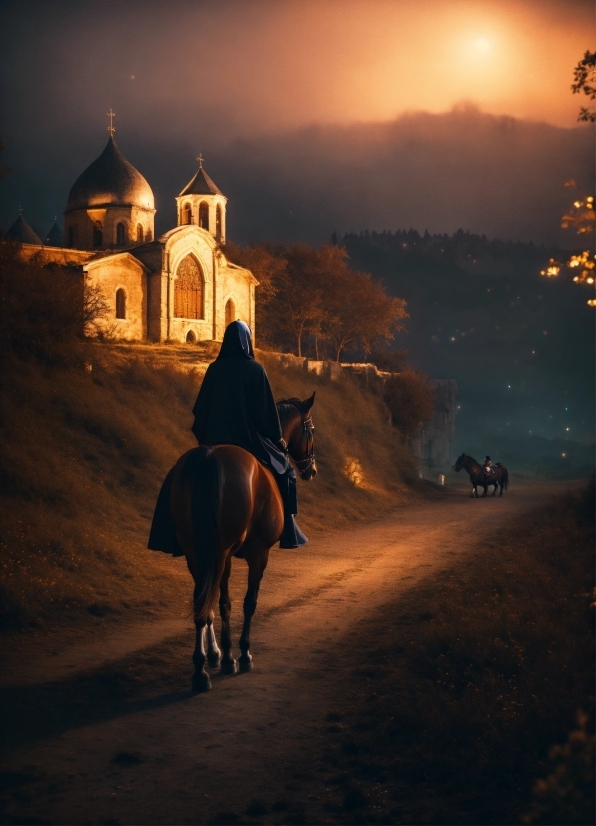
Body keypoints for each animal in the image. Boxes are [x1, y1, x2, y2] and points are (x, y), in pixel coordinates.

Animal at [168, 392, 316, 688]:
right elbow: (249, 602)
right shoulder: (259, 554)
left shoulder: (214, 554)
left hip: (198, 551)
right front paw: (243, 653)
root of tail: (210, 458)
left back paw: (203, 666)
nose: (312, 469)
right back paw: (218, 661)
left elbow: (219, 602)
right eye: (311, 430)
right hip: (221, 551)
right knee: (216, 600)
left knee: (203, 601)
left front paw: (221, 656)